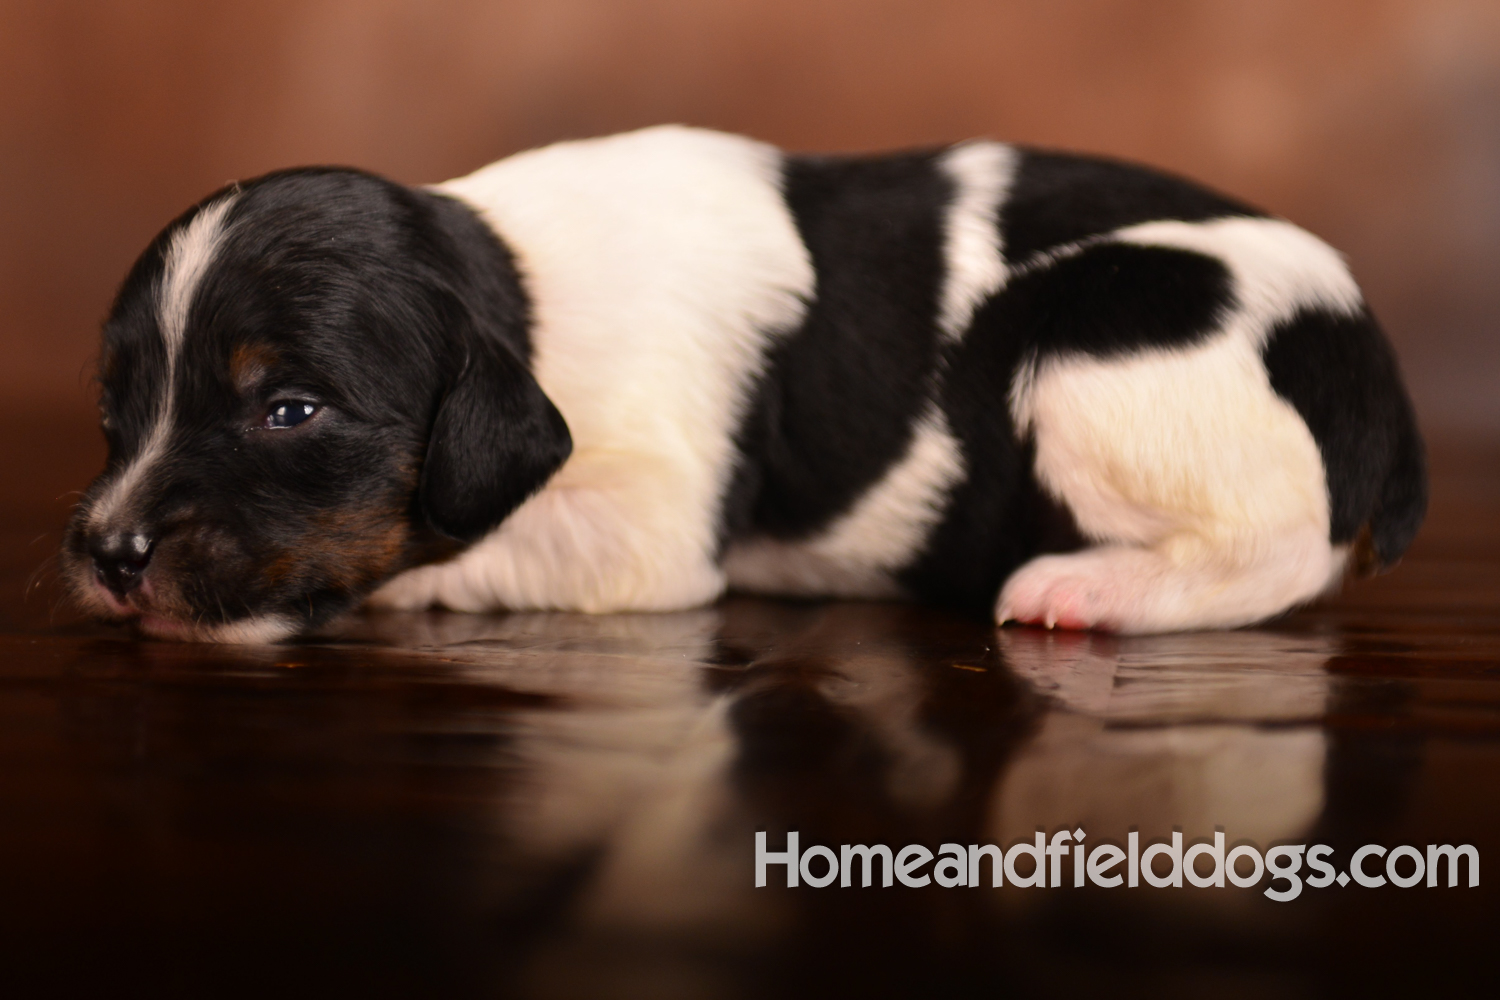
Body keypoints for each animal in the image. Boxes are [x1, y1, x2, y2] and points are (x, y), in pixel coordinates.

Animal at [61, 125, 1428, 641]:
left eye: (288, 410)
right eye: (115, 409)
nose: (107, 551)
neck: (520, 295)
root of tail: (1370, 354)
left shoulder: (650, 523)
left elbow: (462, 548)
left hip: (1095, 328)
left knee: (1283, 548)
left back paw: (1090, 588)